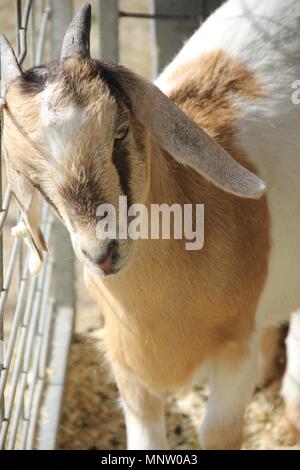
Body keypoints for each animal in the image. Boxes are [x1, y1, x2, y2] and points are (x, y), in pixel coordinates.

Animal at [0, 0, 300, 448]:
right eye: (29, 176)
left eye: (120, 131)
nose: (102, 254)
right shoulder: (128, 369)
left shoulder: (234, 354)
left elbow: (219, 433)